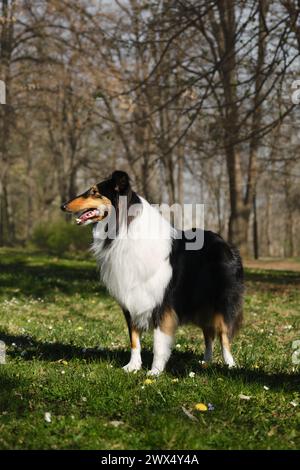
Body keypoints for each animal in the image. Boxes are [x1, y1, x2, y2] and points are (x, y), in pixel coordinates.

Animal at [61, 172, 244, 374]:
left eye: (94, 192)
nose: (63, 206)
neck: (124, 230)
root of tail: (224, 243)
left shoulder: (162, 304)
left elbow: (159, 342)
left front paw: (155, 371)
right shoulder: (131, 299)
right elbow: (134, 339)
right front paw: (132, 367)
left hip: (222, 303)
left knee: (223, 335)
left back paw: (230, 365)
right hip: (202, 304)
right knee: (208, 333)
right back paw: (206, 361)